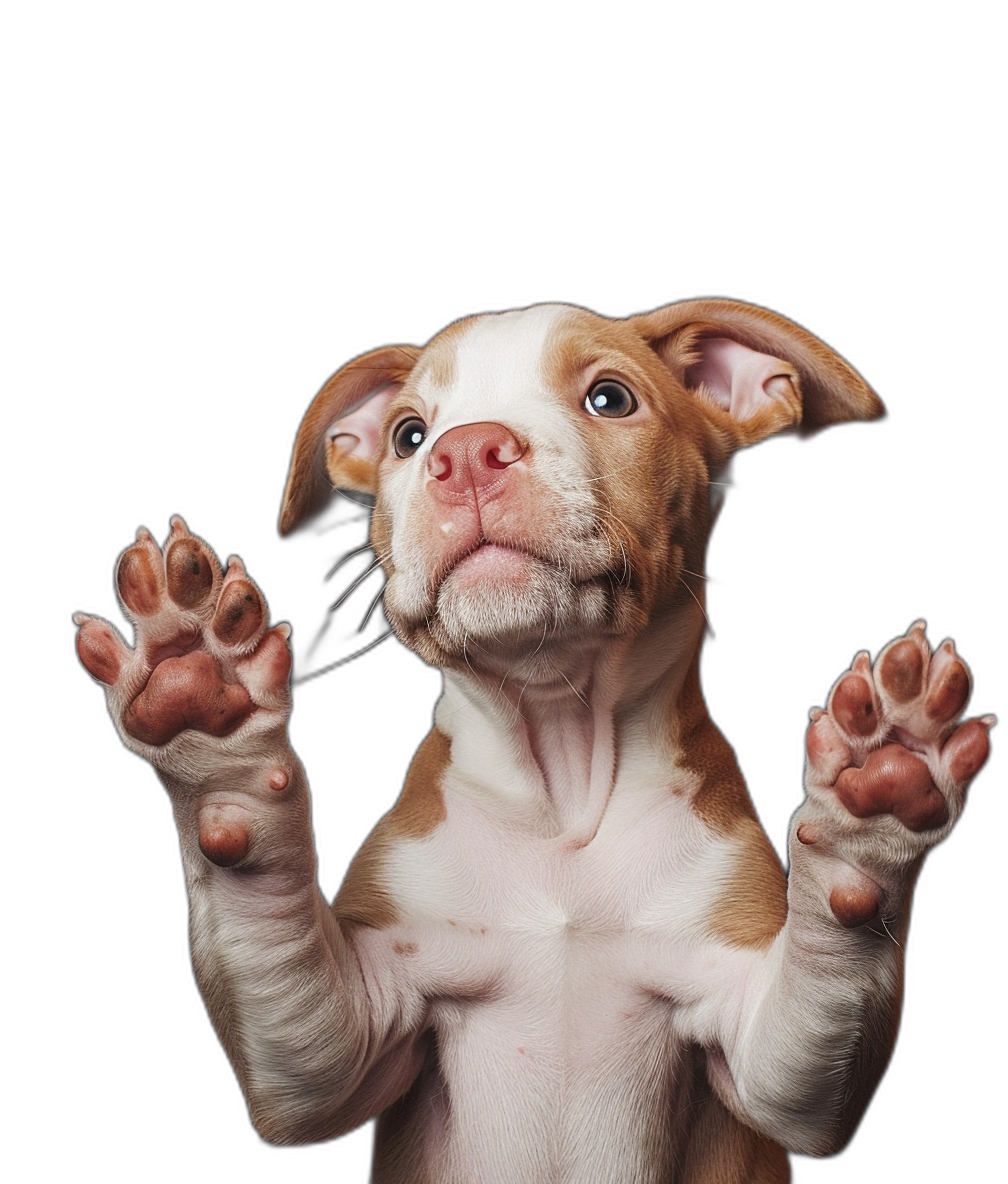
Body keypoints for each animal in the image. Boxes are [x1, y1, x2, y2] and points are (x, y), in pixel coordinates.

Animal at [76, 303, 994, 1184]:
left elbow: (832, 957)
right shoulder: (334, 1050)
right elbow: (266, 920)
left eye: (610, 399)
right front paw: (210, 720)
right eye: (410, 435)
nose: (466, 452)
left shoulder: (772, 1056)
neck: (562, 775)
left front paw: (873, 803)